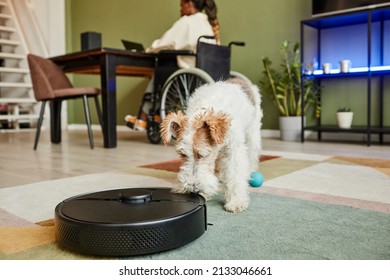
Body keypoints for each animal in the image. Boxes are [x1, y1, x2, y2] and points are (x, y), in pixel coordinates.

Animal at [160, 79, 264, 212]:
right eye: (183, 154)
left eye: (203, 155)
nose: (194, 190)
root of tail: (239, 79)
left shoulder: (233, 149)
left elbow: (235, 173)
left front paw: (236, 201)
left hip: (252, 134)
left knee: (251, 157)